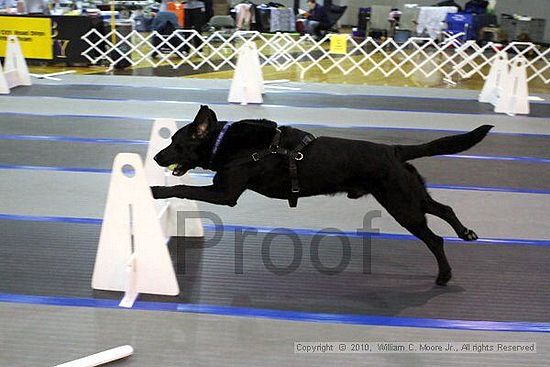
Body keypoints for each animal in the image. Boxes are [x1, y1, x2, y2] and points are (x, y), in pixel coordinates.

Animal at [152, 105, 496, 286]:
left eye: (175, 142)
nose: (156, 157)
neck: (228, 144)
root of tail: (394, 150)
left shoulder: (225, 193)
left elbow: (182, 188)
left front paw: (156, 190)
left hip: (401, 204)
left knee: (434, 239)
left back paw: (445, 275)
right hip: (410, 195)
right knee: (445, 208)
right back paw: (466, 233)